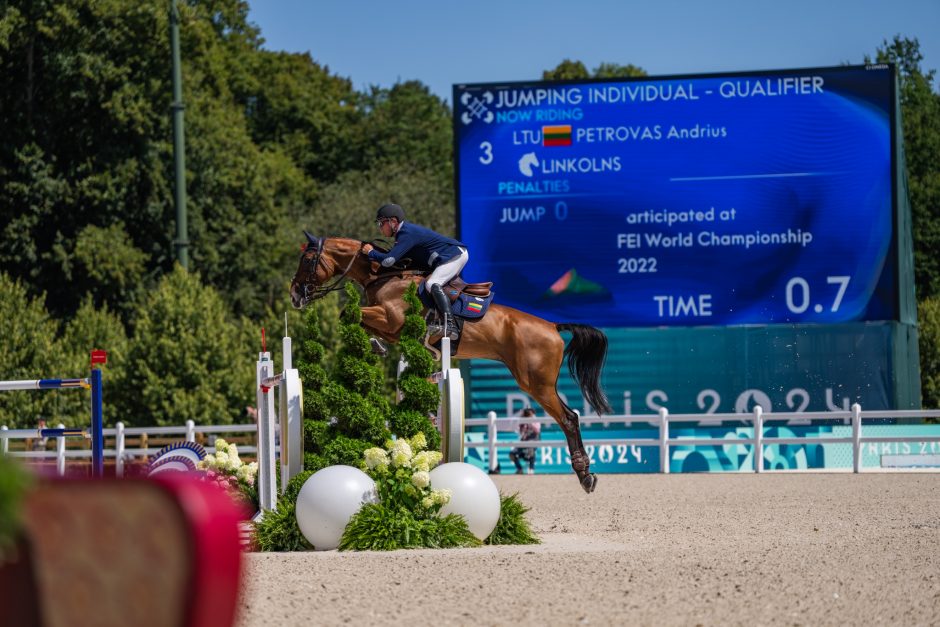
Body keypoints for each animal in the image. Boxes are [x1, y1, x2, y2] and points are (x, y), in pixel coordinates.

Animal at [290, 233, 612, 494]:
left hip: (536, 384)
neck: (383, 277)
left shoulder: (393, 321)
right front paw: (376, 345)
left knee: (569, 418)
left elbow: (349, 312)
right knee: (569, 417)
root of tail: (553, 326)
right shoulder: (391, 327)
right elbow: (355, 317)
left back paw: (585, 476)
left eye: (307, 260)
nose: (294, 295)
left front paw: (376, 344)